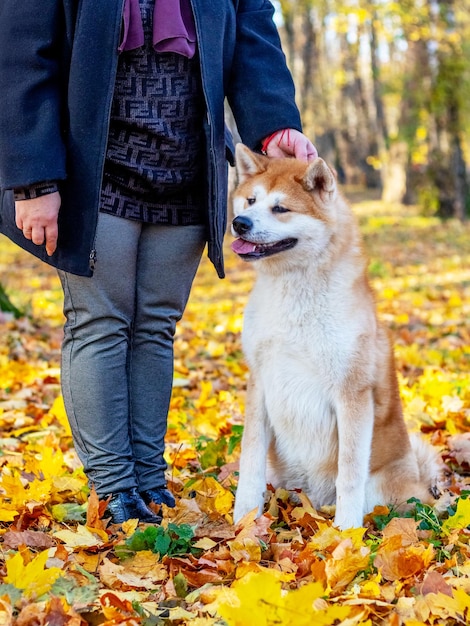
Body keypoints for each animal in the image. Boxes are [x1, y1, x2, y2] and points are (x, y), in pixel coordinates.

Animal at [231, 143, 440, 528]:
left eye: (280, 208)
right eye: (250, 201)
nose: (241, 223)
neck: (295, 292)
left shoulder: (351, 391)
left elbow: (350, 473)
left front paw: (345, 533)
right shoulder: (260, 381)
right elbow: (249, 461)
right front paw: (244, 521)